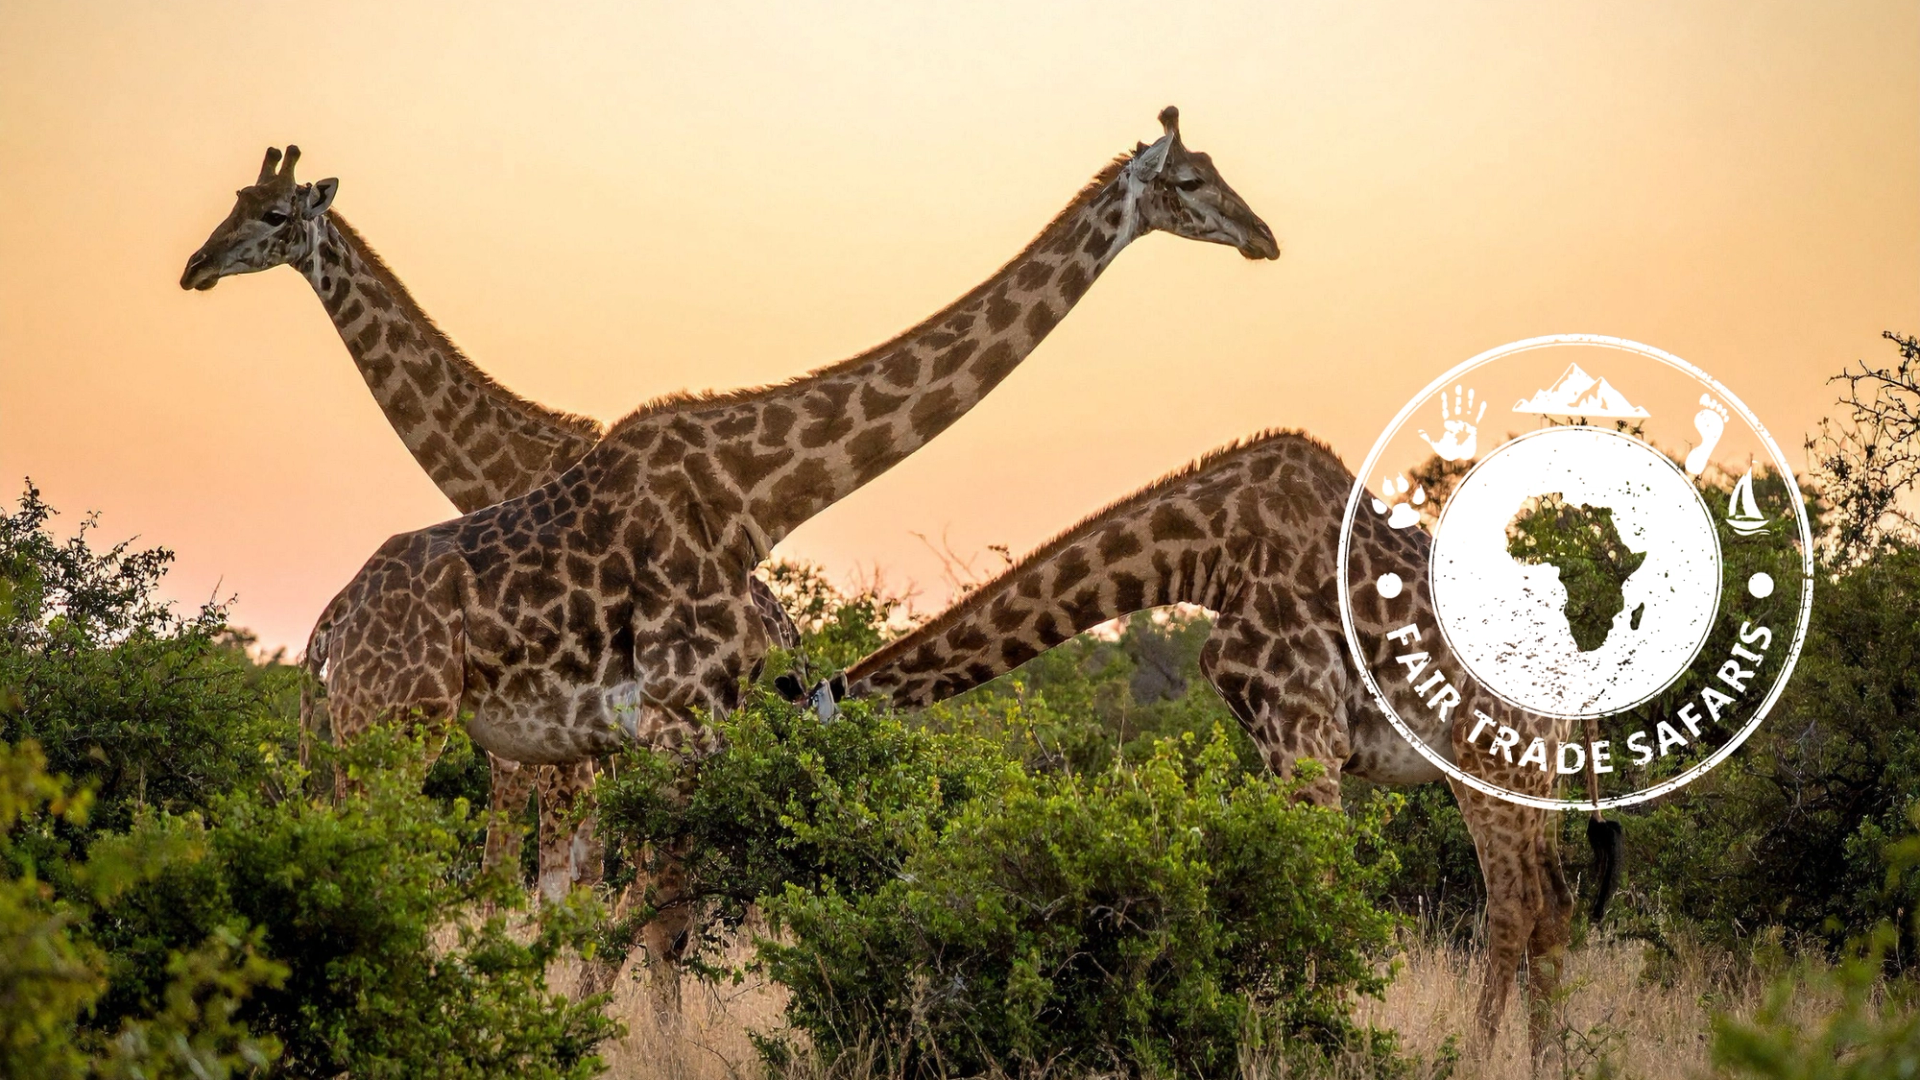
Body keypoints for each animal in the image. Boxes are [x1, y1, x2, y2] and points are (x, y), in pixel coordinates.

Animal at [309, 107, 1278, 940]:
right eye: (1189, 180)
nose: (1263, 237)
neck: (749, 491)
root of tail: (331, 626)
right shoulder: (670, 722)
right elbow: (647, 913)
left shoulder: (678, 729)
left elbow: (645, 907)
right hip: (393, 726)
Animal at [783, 430, 1620, 1057]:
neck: (1206, 554)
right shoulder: (1282, 745)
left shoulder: (1305, 734)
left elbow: (1322, 899)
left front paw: (1320, 1043)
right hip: (1535, 768)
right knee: (1555, 905)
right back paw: (1550, 1060)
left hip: (1487, 754)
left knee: (1512, 905)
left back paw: (1475, 1056)